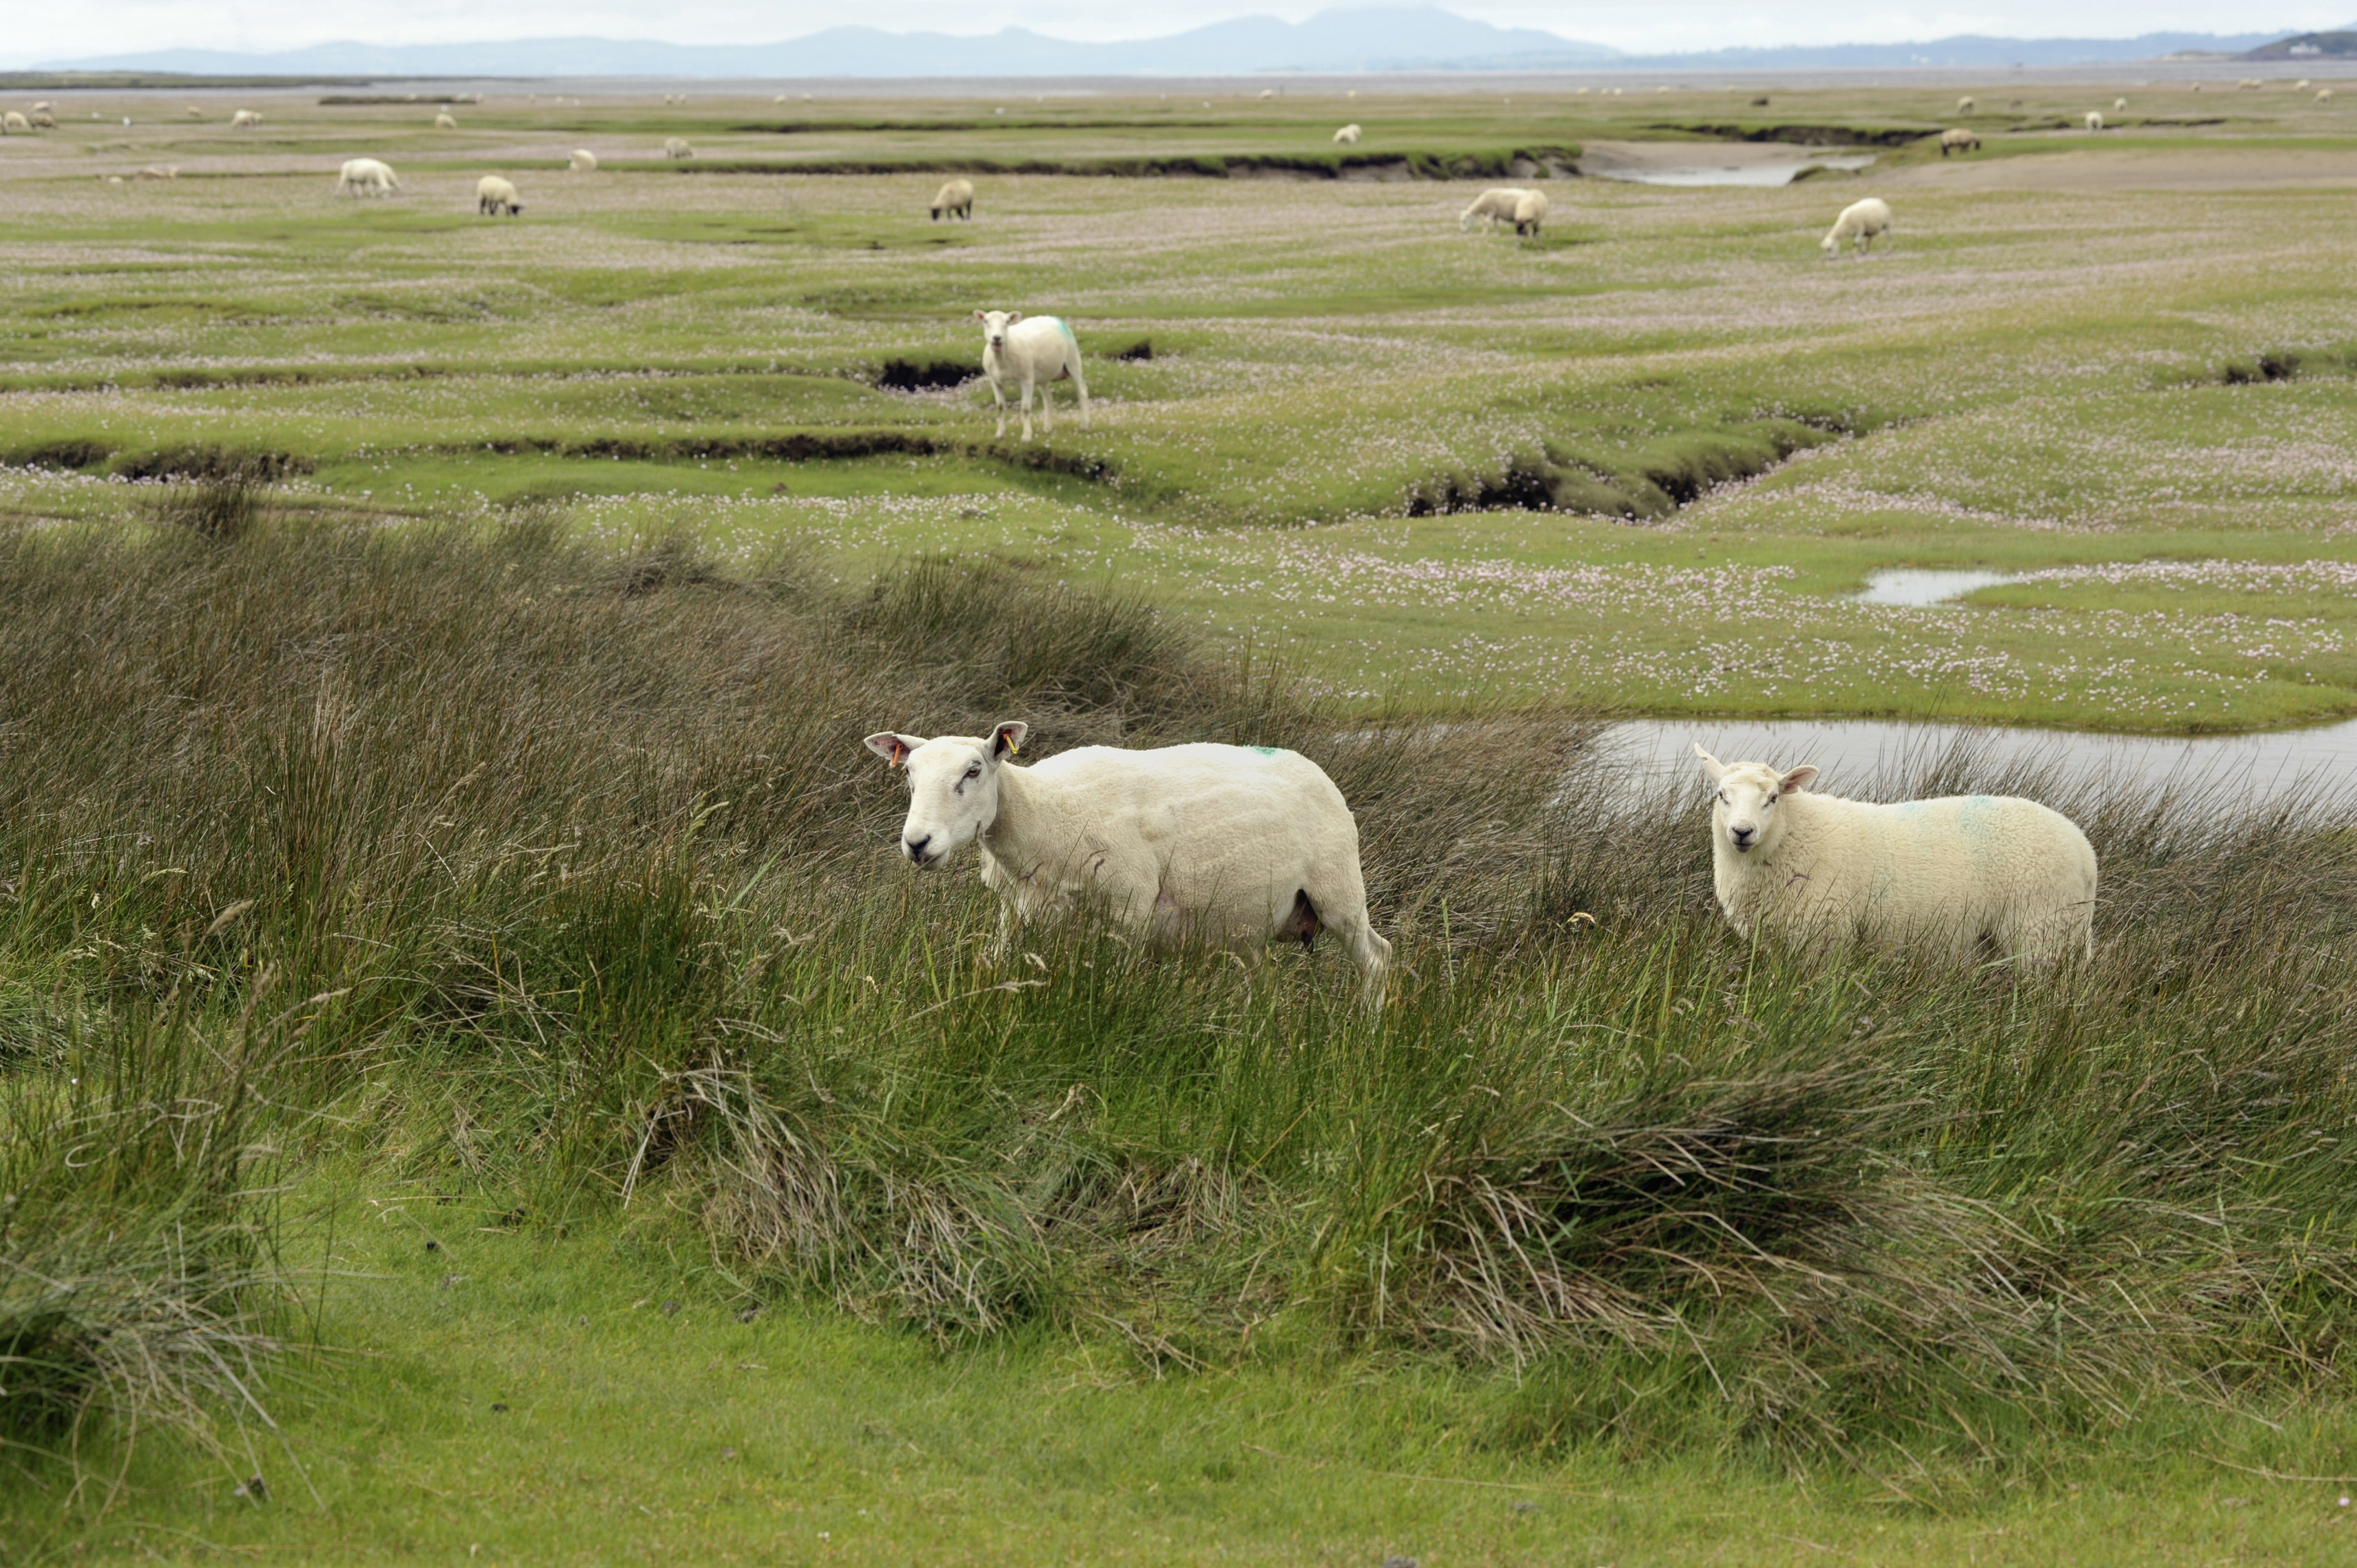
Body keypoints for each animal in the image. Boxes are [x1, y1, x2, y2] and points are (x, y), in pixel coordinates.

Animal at [866, 722, 1392, 1006]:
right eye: (909, 773)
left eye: (974, 771)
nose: (917, 843)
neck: (1043, 813)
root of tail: (1314, 767)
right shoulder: (1018, 909)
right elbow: (991, 963)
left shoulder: (1129, 912)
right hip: (1248, 924)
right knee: (1263, 983)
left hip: (1338, 890)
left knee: (1377, 959)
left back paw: (1367, 1033)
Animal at [973, 309, 1089, 441]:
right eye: (985, 321)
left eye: (1007, 322)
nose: (997, 338)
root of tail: (1053, 318)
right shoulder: (995, 382)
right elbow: (1001, 407)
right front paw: (1000, 434)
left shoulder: (1027, 379)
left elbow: (1025, 408)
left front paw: (1027, 436)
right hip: (1042, 375)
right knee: (1048, 398)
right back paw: (1048, 428)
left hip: (1073, 361)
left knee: (1082, 392)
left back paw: (1085, 425)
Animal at [1459, 187, 1531, 231]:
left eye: (1464, 221)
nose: (1463, 232)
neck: (1482, 205)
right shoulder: (1495, 214)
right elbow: (1496, 224)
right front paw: (1497, 234)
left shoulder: (1492, 211)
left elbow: (1486, 222)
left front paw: (1484, 234)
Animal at [1695, 747, 2096, 964]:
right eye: (1721, 795)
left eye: (1774, 798)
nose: (1742, 831)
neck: (1795, 835)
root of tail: (2085, 850)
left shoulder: (1824, 937)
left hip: (2040, 927)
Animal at [1820, 196, 1892, 257]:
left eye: (1829, 249)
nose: (1831, 259)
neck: (1845, 224)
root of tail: (1879, 200)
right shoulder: (1854, 233)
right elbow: (1858, 243)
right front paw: (1862, 252)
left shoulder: (1860, 228)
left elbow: (1856, 243)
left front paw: (1853, 254)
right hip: (1870, 229)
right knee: (1869, 239)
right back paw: (1866, 251)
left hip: (1887, 224)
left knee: (1889, 237)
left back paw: (1888, 251)